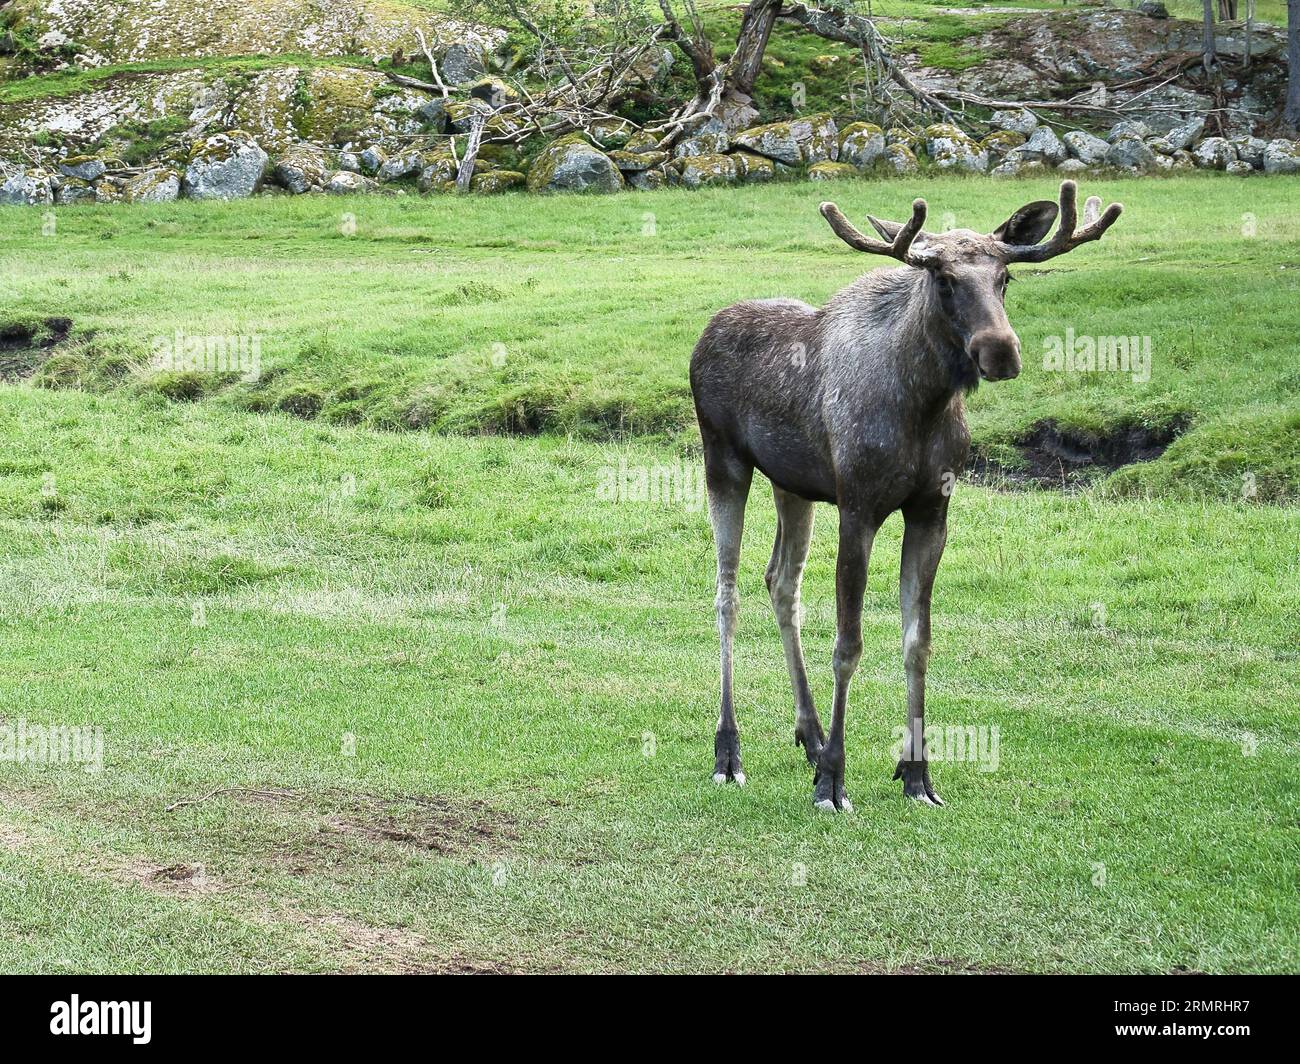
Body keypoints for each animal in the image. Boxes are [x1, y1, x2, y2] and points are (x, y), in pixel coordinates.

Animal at [686, 180, 1123, 806]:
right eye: (944, 280)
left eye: (1005, 277)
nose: (1001, 351)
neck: (924, 404)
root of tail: (701, 337)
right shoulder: (858, 507)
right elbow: (849, 645)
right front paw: (833, 780)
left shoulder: (932, 510)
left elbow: (918, 641)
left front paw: (917, 773)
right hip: (723, 462)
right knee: (727, 593)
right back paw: (729, 750)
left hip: (792, 485)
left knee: (781, 582)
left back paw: (810, 733)